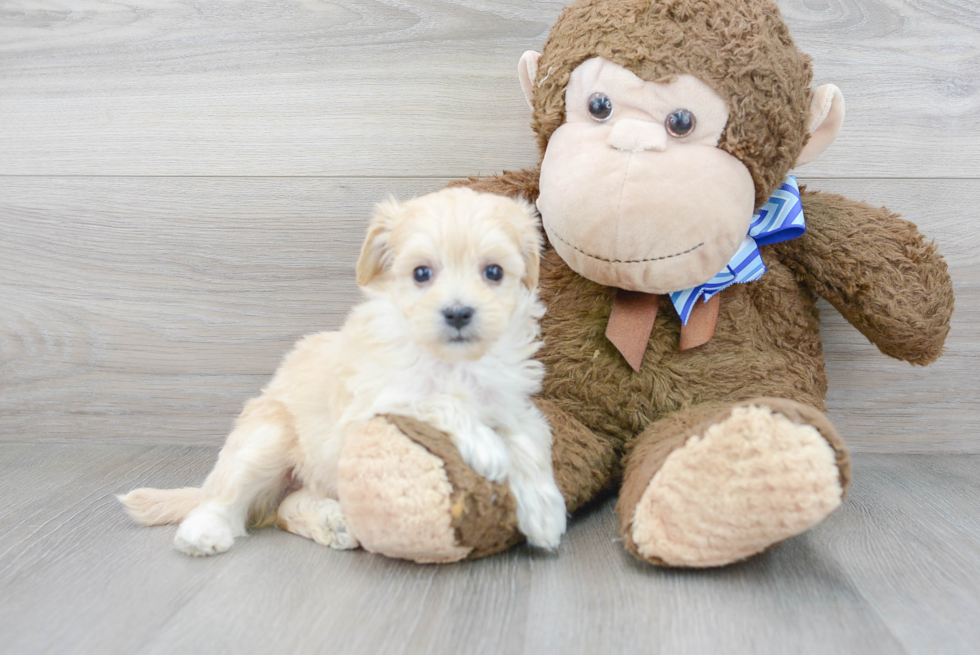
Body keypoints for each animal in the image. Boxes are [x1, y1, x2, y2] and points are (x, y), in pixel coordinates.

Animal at [119, 187, 568, 556]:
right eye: (421, 273)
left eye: (493, 272)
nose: (458, 313)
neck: (452, 362)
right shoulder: (375, 400)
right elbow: (437, 400)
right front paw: (487, 447)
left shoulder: (514, 407)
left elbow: (528, 443)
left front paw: (544, 513)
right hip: (266, 438)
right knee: (224, 496)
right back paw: (205, 531)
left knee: (285, 508)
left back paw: (331, 522)